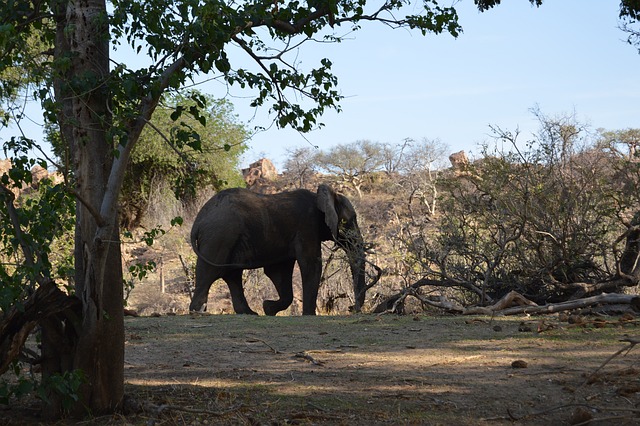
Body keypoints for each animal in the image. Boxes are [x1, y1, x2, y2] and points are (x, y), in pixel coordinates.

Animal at [189, 185, 364, 314]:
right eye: (351, 220)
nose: (351, 308)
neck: (321, 197)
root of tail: (199, 219)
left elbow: (279, 272)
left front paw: (268, 308)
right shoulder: (306, 226)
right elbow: (311, 265)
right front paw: (309, 315)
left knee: (232, 274)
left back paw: (249, 313)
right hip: (219, 235)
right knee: (209, 271)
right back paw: (198, 311)